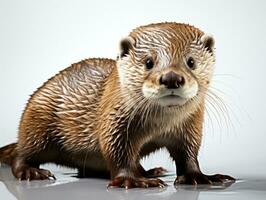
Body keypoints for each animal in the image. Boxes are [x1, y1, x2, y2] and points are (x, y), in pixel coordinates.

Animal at [0, 22, 234, 188]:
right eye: (148, 62)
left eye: (191, 61)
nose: (171, 78)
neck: (160, 124)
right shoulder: (114, 123)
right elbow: (117, 153)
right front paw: (132, 180)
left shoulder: (190, 128)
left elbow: (188, 155)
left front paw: (199, 176)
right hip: (37, 124)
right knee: (22, 153)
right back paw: (30, 171)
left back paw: (150, 171)